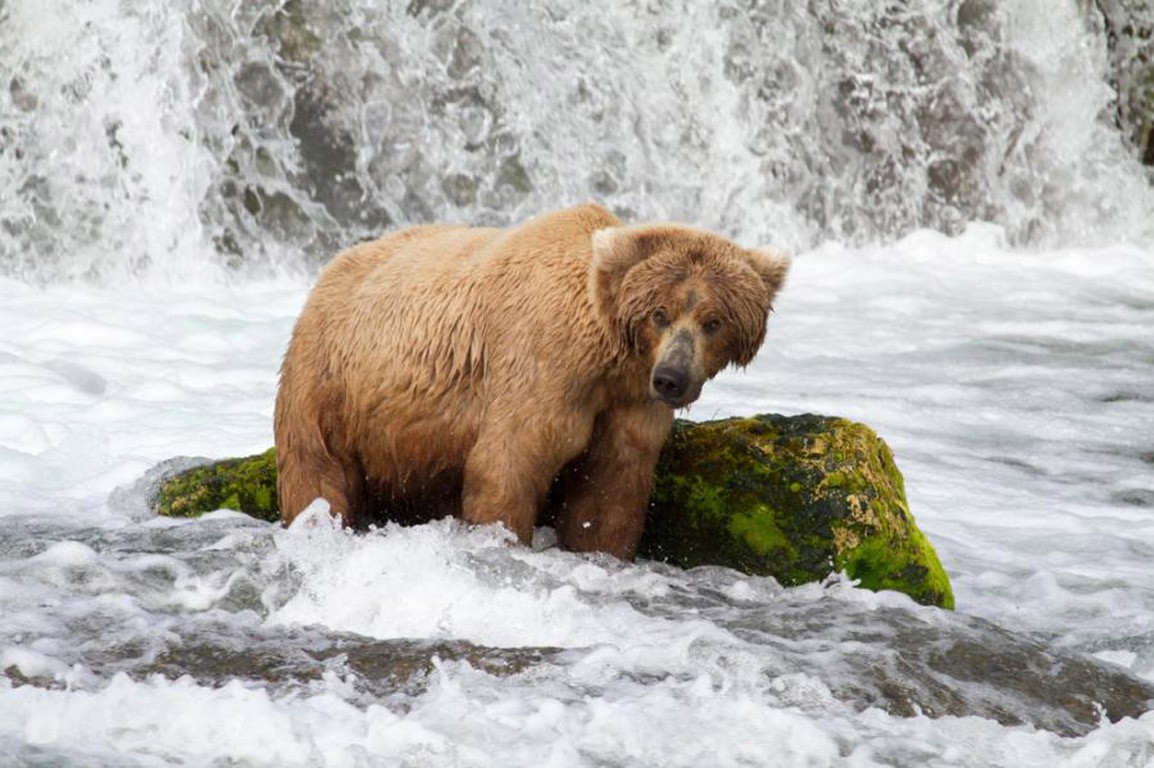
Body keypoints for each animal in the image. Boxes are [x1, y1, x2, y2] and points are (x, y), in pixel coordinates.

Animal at [274, 202, 789, 555]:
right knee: (317, 474)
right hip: (330, 382)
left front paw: (599, 548)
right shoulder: (542, 364)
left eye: (713, 321)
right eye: (659, 313)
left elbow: (612, 486)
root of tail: (332, 267)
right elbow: (509, 462)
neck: (608, 357)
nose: (671, 378)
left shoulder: (629, 403)